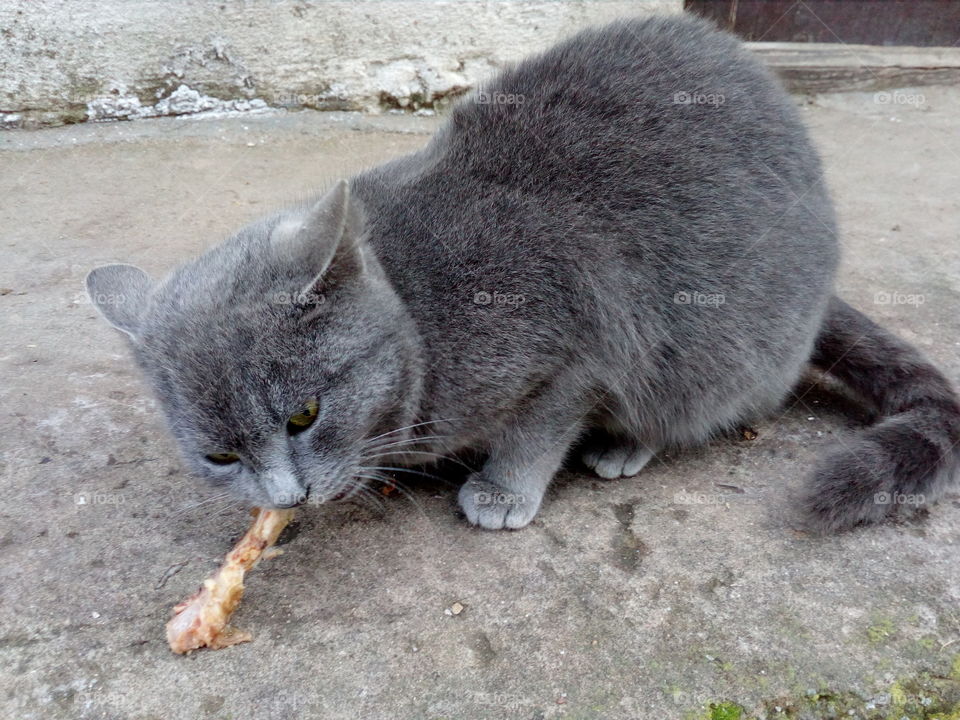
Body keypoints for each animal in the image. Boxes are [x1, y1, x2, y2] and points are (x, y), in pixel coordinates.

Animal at [86, 15, 956, 536]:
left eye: (304, 415)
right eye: (220, 459)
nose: (285, 499)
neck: (421, 312)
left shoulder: (577, 352)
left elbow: (539, 429)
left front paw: (502, 490)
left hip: (721, 352)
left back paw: (625, 446)